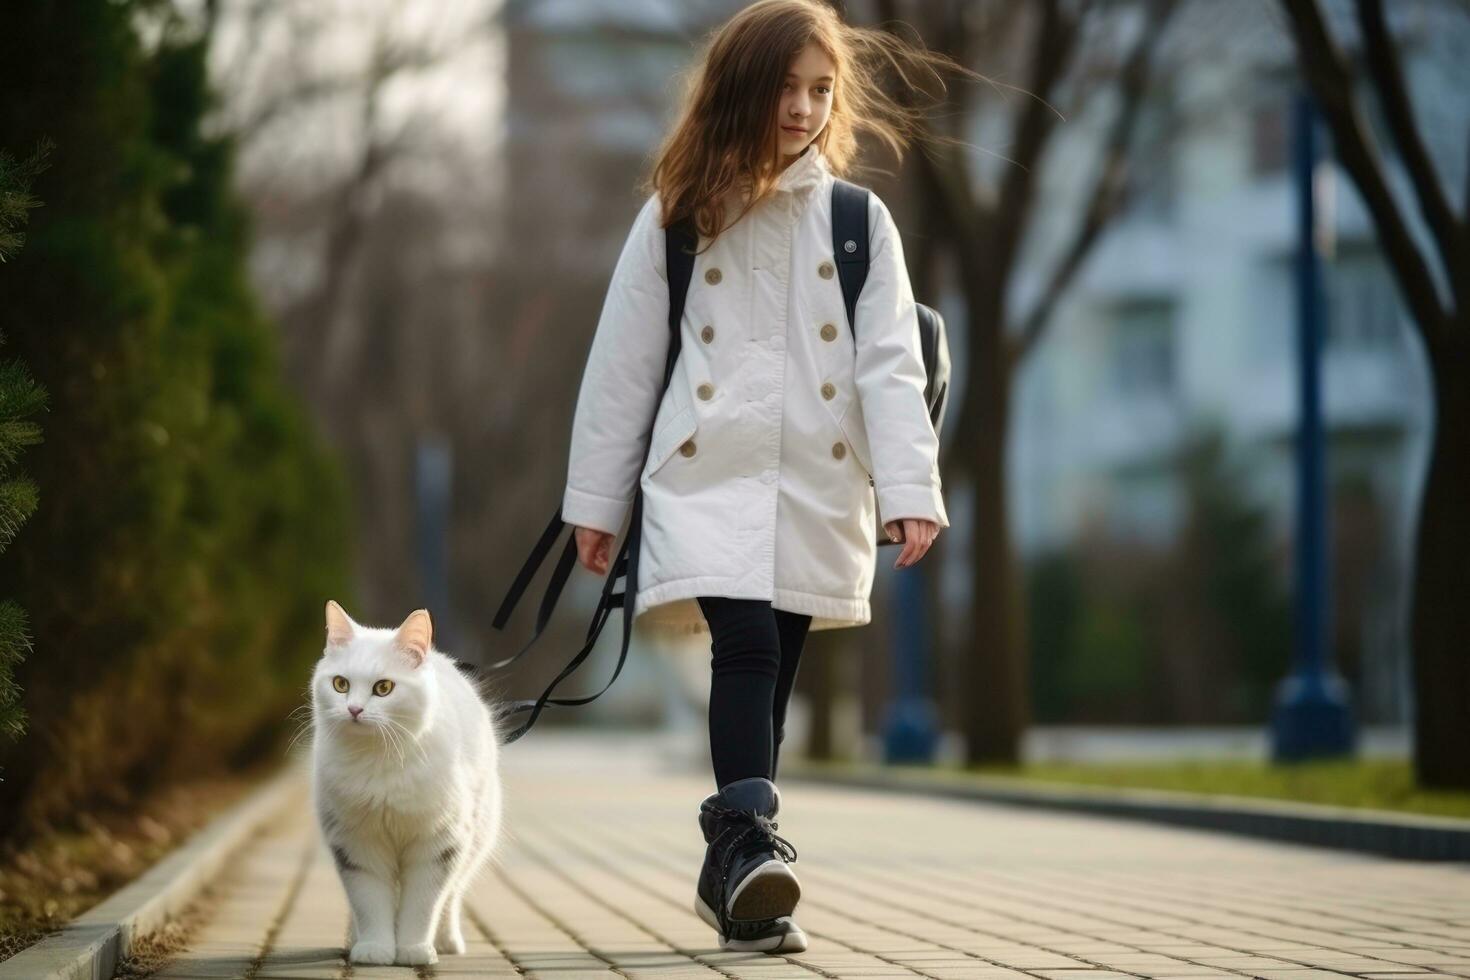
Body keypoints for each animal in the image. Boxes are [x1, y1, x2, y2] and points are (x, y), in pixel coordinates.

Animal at [310, 599, 505, 963]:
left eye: (383, 688)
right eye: (340, 684)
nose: (354, 709)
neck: (379, 759)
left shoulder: (438, 844)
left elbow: (423, 904)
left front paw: (414, 950)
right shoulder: (357, 844)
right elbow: (369, 902)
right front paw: (375, 949)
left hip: (474, 841)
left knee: (451, 897)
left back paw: (446, 942)